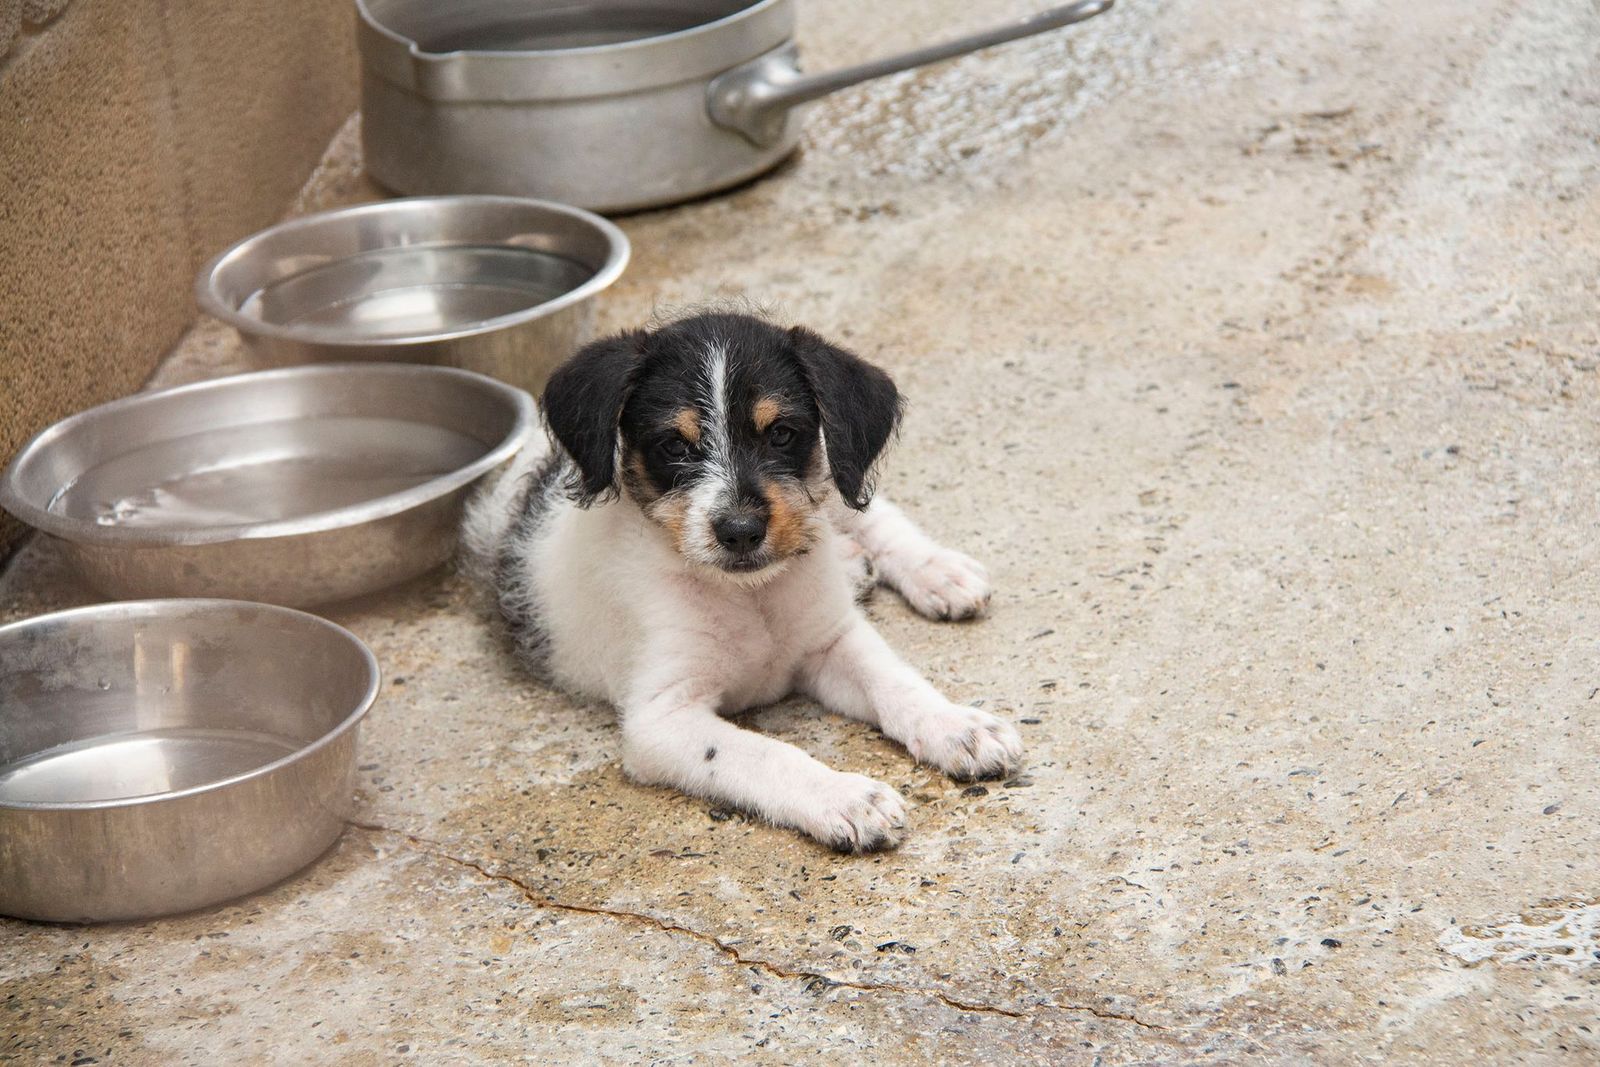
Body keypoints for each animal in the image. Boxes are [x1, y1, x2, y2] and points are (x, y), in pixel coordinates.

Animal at [463, 311, 1022, 852]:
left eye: (781, 434)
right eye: (674, 445)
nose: (741, 531)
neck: (749, 595)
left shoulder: (832, 641)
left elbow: (895, 681)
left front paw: (956, 727)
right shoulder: (662, 720)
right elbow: (764, 754)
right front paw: (844, 797)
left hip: (835, 480)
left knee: (871, 513)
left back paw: (939, 571)